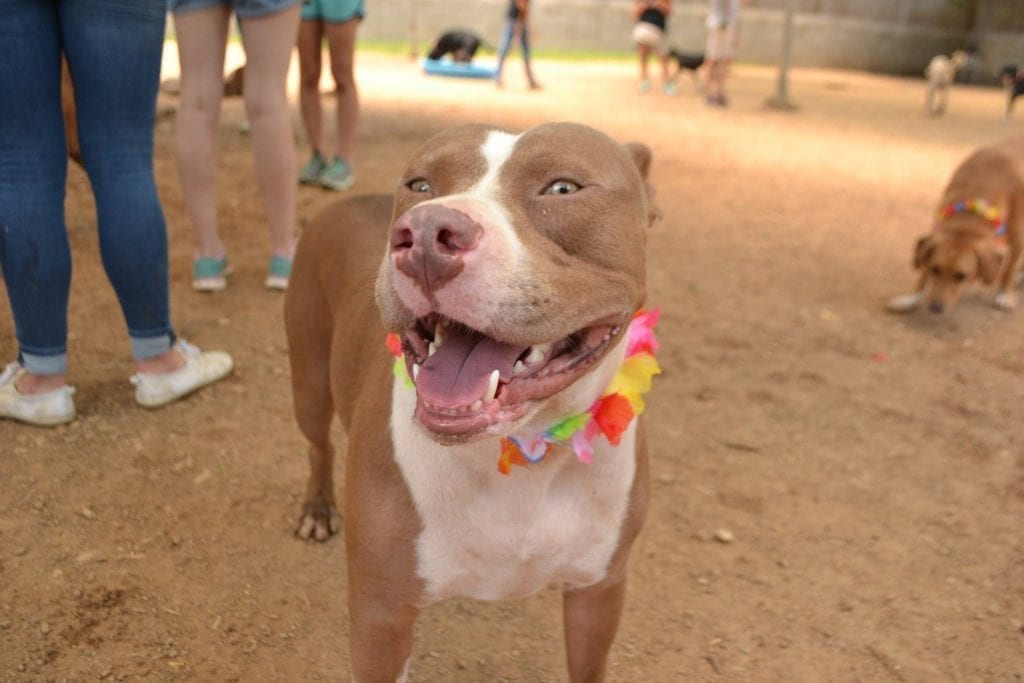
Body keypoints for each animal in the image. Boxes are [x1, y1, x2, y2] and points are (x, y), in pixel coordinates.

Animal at [284, 122, 659, 683]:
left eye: (563, 187)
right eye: (420, 184)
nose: (423, 233)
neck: (522, 449)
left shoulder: (598, 590)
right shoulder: (379, 618)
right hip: (308, 380)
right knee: (318, 444)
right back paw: (317, 507)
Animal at [888, 134, 1024, 315]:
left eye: (961, 276)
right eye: (935, 269)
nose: (935, 307)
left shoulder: (1018, 238)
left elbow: (1008, 271)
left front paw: (1005, 295)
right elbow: (923, 269)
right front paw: (910, 298)